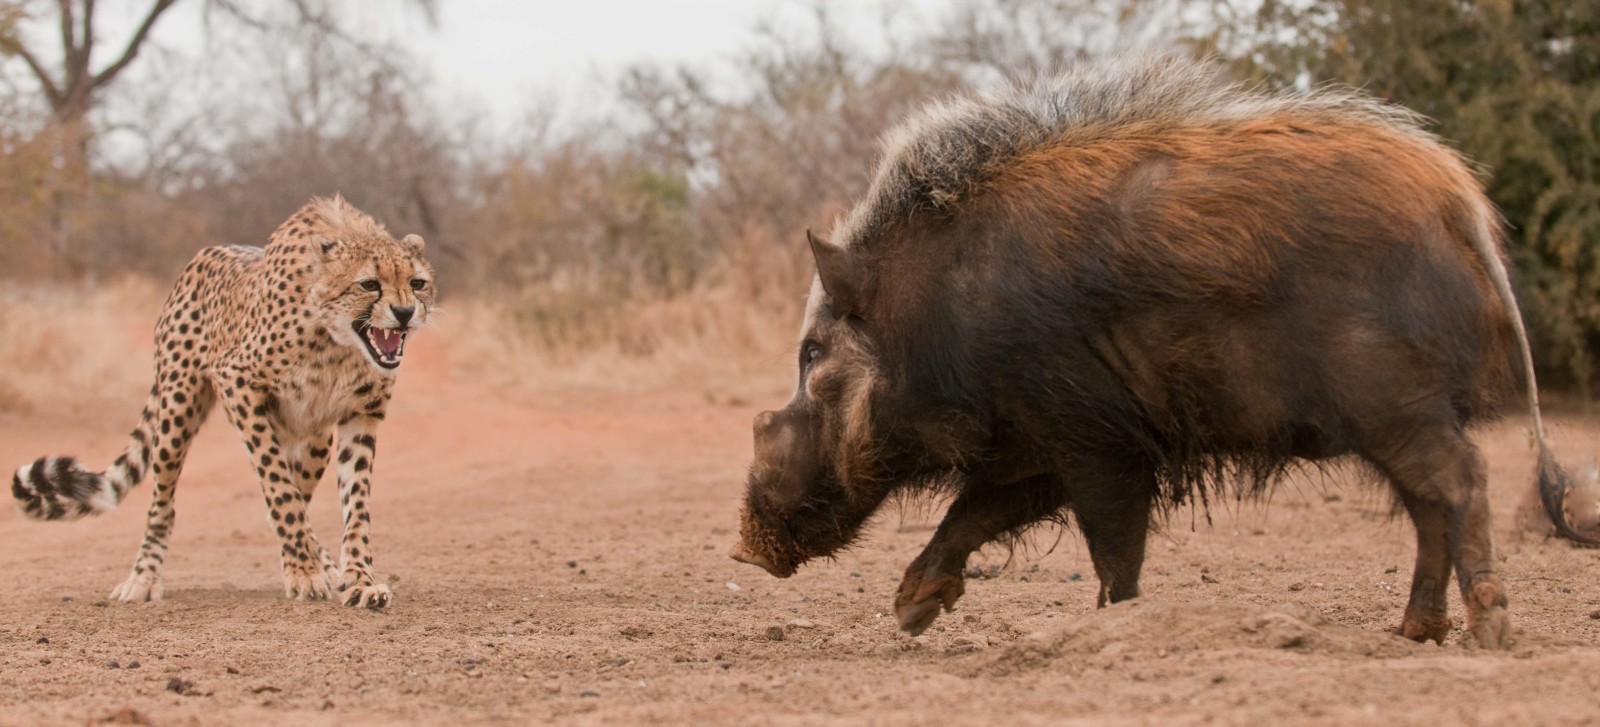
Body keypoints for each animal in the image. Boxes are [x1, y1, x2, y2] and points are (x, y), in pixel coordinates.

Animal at [14, 197, 438, 608]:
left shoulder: (360, 416)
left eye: (417, 283)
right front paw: (304, 572)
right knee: (164, 502)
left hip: (315, 439)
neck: (337, 343)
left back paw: (324, 564)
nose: (404, 312)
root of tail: (200, 259)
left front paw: (358, 580)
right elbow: (279, 489)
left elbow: (354, 507)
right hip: (177, 411)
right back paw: (143, 577)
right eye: (369, 284)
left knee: (296, 490)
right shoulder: (237, 381)